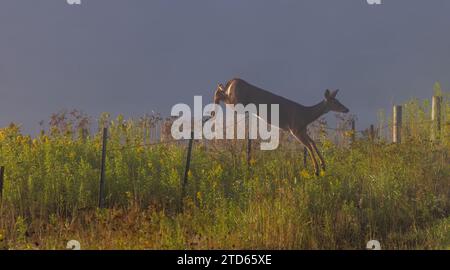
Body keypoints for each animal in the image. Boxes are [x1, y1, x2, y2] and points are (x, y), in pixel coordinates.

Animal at [213, 77, 350, 177]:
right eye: (335, 102)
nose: (347, 109)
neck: (306, 115)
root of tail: (233, 80)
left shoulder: (302, 130)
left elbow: (313, 143)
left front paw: (323, 165)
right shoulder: (295, 129)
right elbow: (309, 146)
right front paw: (316, 170)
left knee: (221, 89)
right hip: (237, 102)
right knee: (220, 92)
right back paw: (214, 107)